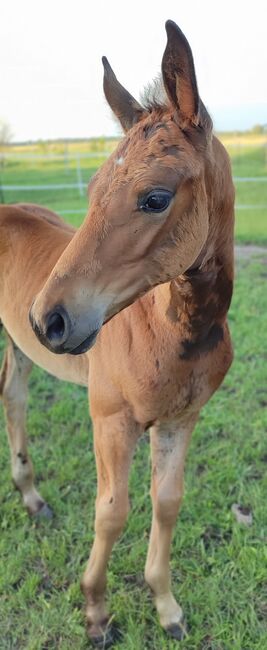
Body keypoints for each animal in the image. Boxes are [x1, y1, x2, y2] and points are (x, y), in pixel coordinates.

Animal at [0, 20, 234, 644]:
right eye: (92, 193)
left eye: (155, 198)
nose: (47, 319)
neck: (171, 334)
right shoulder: (109, 419)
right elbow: (112, 512)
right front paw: (97, 613)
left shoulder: (180, 418)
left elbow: (166, 502)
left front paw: (166, 607)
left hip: (17, 348)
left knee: (14, 398)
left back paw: (31, 498)